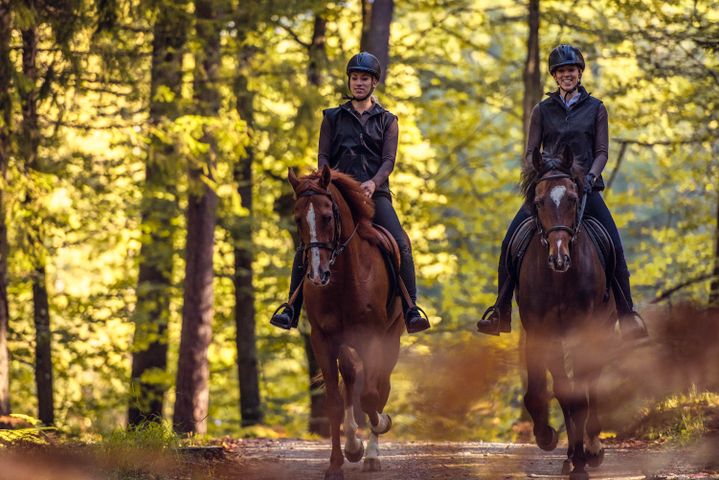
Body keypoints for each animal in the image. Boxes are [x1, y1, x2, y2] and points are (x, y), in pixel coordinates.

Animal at [290, 166, 408, 480]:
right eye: (297, 219)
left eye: (327, 217)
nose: (317, 274)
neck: (344, 276)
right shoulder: (323, 339)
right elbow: (335, 401)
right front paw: (337, 463)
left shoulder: (375, 337)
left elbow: (371, 395)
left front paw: (380, 428)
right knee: (351, 377)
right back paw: (354, 445)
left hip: (391, 338)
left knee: (380, 385)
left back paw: (371, 454)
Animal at [516, 148, 620, 478]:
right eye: (538, 201)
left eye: (574, 199)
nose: (559, 258)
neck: (560, 280)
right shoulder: (541, 332)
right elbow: (552, 392)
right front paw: (550, 439)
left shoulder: (586, 332)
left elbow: (581, 392)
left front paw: (583, 460)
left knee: (593, 383)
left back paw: (593, 448)